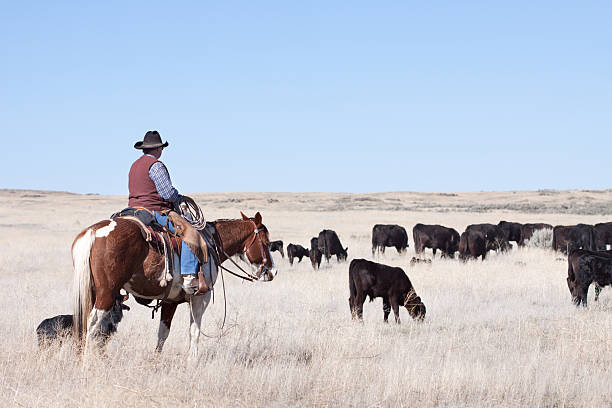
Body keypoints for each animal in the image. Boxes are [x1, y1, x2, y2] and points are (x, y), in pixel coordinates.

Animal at [70, 210, 278, 356]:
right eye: (266, 242)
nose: (272, 272)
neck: (211, 244)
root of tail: (94, 231)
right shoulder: (200, 298)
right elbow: (195, 332)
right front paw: (192, 363)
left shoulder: (170, 301)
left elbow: (163, 333)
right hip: (106, 292)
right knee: (93, 324)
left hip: (93, 291)